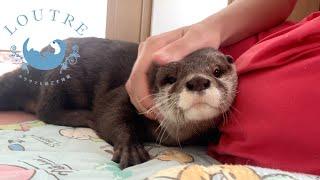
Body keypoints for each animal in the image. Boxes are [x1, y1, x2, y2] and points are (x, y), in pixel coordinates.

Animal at [0, 37, 238, 169]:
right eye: (171, 78)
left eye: (217, 70)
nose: (197, 81)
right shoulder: (128, 91)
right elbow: (110, 113)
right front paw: (131, 149)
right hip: (59, 76)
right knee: (46, 109)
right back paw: (85, 116)